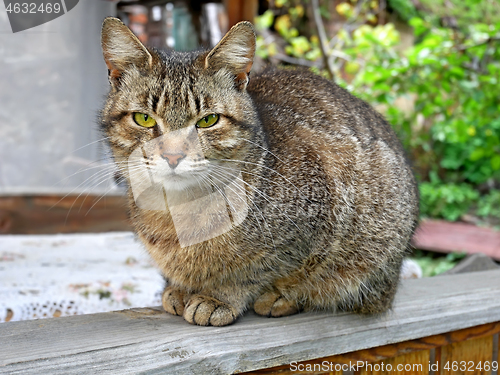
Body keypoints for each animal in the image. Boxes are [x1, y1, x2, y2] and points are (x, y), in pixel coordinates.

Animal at [97, 17, 418, 326]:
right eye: (144, 118)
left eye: (208, 120)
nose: (173, 155)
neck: (177, 214)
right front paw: (178, 288)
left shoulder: (322, 213)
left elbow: (254, 270)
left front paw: (219, 296)